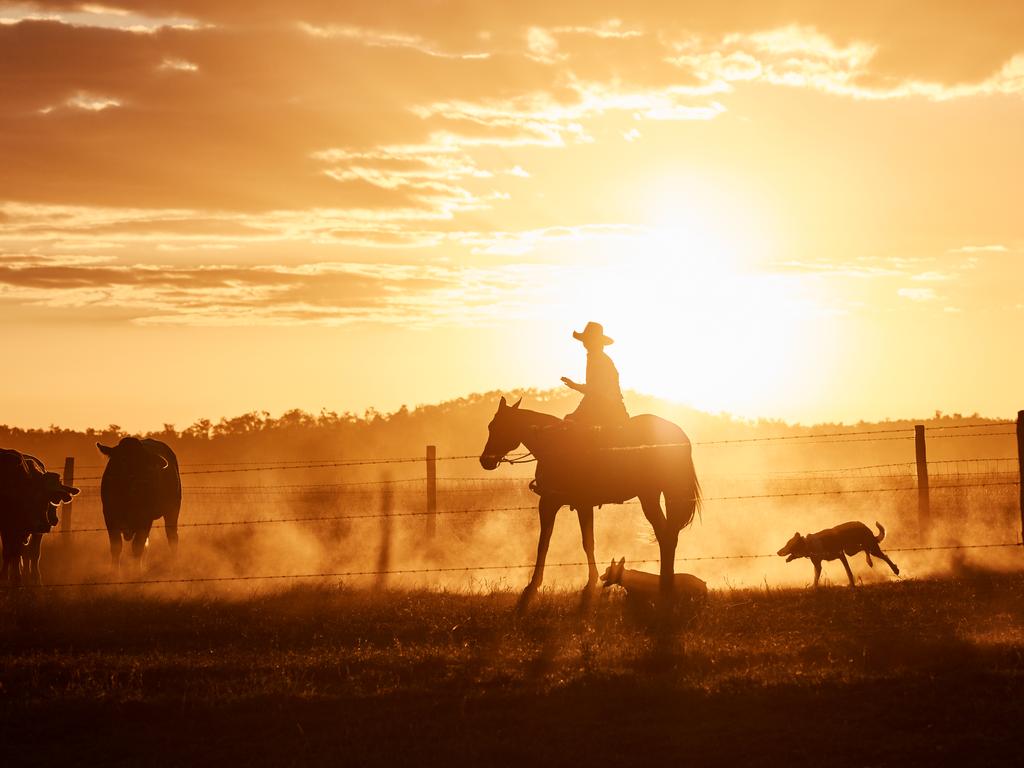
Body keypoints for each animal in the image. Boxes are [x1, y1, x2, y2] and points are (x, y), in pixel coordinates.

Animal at [0, 448, 79, 585]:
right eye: (28, 499)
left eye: (49, 499)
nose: (49, 522)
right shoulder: (9, 527)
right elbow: (10, 552)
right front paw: (8, 578)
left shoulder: (32, 530)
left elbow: (32, 553)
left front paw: (33, 578)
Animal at [96, 438, 182, 573]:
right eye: (123, 459)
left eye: (146, 462)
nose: (141, 482)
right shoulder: (109, 516)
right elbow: (116, 546)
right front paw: (114, 572)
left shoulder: (145, 518)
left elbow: (137, 547)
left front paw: (135, 572)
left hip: (173, 509)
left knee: (172, 537)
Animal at [479, 397, 696, 606]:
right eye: (490, 426)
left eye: (497, 426)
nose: (485, 460)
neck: (553, 445)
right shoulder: (573, 505)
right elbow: (578, 542)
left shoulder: (552, 502)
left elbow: (552, 544)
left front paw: (532, 589)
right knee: (669, 535)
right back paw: (666, 585)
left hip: (649, 495)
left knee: (665, 535)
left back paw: (664, 587)